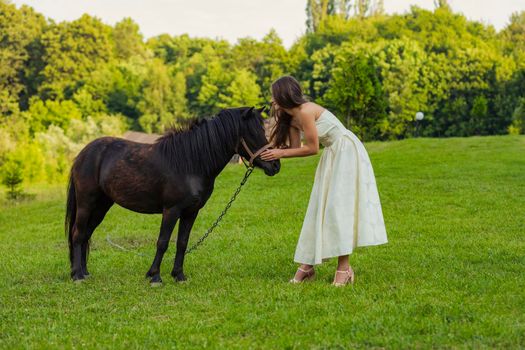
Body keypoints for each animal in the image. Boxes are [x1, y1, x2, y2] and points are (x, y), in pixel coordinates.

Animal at [65, 106, 280, 282]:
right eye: (253, 132)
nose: (275, 165)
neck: (190, 163)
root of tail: (83, 154)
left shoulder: (191, 212)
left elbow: (182, 243)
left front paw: (178, 275)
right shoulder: (171, 210)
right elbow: (163, 242)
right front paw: (154, 276)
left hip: (101, 206)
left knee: (86, 234)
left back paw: (84, 272)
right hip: (86, 203)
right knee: (78, 234)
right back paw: (77, 275)